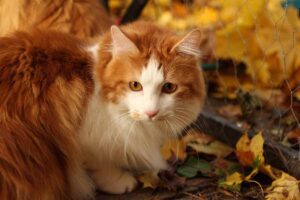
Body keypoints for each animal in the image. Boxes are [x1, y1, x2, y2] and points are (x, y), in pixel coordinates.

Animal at [0, 20, 205, 198]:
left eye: (169, 87)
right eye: (135, 85)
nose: (151, 113)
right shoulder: (80, 139)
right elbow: (97, 163)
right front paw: (118, 181)